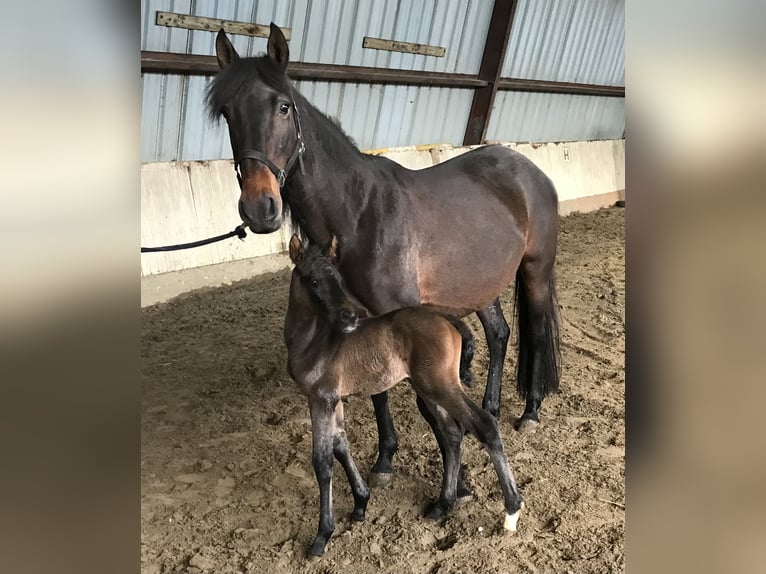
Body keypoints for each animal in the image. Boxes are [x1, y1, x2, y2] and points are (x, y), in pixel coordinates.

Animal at [207, 24, 561, 486]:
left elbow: (425, 402)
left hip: (535, 271)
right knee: (500, 334)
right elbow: (378, 390)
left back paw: (531, 411)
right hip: (480, 282)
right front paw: (386, 459)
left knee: (534, 333)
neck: (360, 212)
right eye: (228, 112)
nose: (259, 208)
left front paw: (456, 479)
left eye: (282, 106)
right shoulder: (366, 318)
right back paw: (493, 405)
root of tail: (528, 168)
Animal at [284, 234, 523, 557]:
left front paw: (322, 536)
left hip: (440, 385)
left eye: (339, 279)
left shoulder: (320, 398)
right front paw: (361, 503)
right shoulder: (334, 399)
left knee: (484, 424)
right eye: (314, 281)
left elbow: (322, 462)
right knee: (451, 433)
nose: (351, 316)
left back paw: (511, 510)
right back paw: (442, 505)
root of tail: (448, 320)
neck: (313, 341)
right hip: (427, 387)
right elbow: (341, 446)